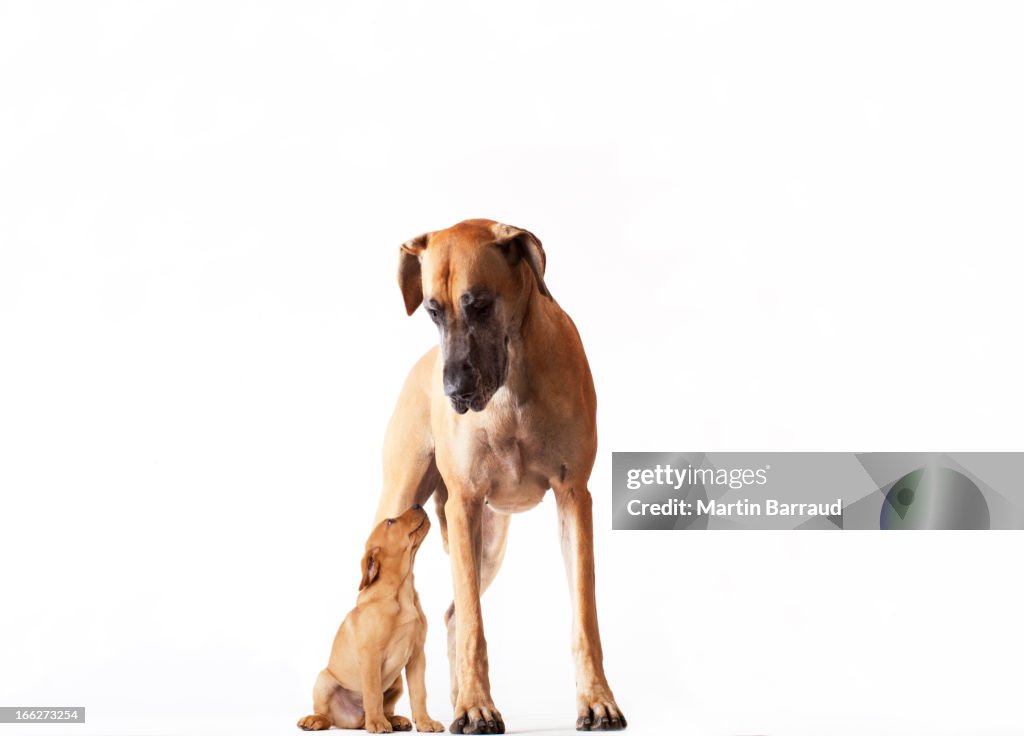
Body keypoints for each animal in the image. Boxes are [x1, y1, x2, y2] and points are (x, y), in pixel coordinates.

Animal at [292, 507, 444, 736]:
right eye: (390, 522)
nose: (418, 505)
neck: (402, 591)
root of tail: (356, 720)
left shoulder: (417, 656)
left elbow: (419, 693)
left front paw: (425, 722)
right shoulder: (371, 654)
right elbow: (373, 693)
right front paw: (378, 724)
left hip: (397, 681)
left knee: (386, 708)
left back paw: (394, 720)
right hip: (324, 679)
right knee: (326, 715)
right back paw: (316, 720)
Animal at [372, 220, 618, 736]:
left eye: (480, 304)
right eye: (432, 311)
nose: (454, 392)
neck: (513, 385)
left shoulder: (574, 497)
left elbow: (584, 614)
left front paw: (597, 700)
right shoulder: (464, 503)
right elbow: (474, 624)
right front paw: (477, 706)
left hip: (490, 543)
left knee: (451, 614)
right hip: (403, 503)